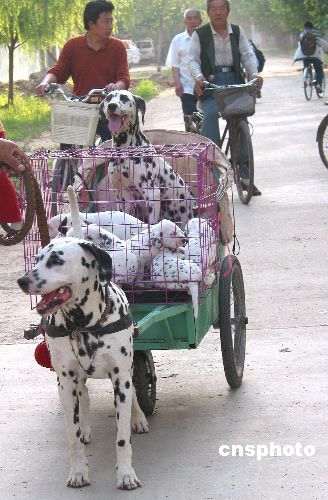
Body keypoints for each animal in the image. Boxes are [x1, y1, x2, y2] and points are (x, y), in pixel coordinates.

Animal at [16, 237, 147, 488]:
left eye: (56, 260)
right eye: (37, 259)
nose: (22, 281)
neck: (83, 325)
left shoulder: (121, 379)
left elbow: (122, 437)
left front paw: (126, 473)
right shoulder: (65, 383)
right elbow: (72, 436)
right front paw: (78, 472)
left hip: (128, 369)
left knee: (134, 393)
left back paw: (138, 418)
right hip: (73, 380)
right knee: (83, 397)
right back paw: (85, 428)